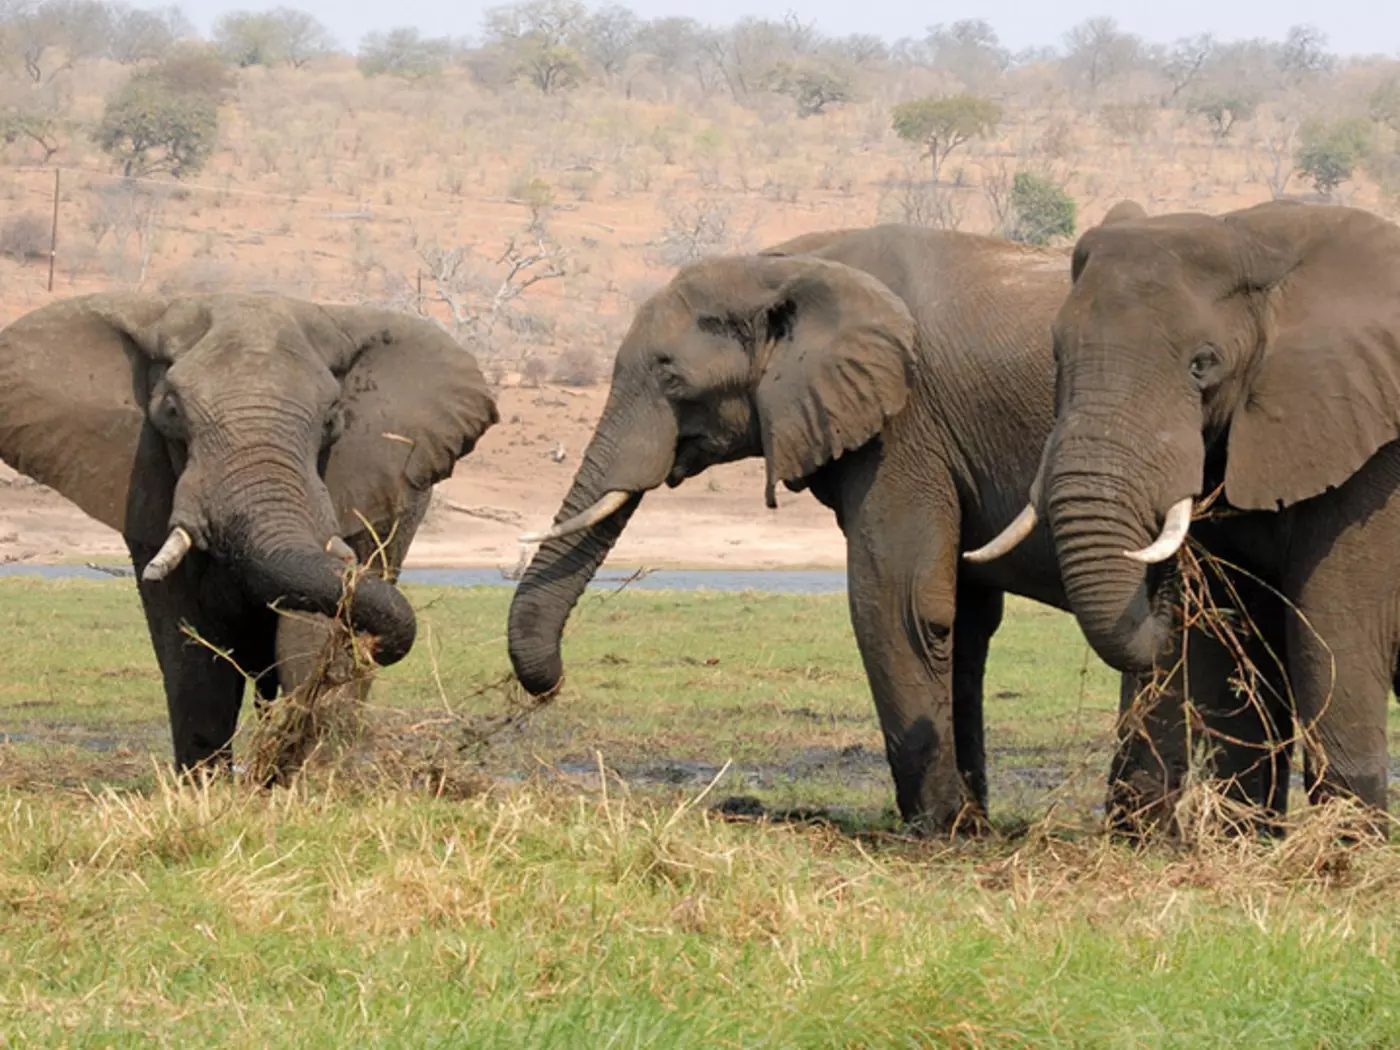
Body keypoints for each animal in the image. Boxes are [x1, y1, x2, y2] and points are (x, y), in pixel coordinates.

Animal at [0, 292, 498, 774]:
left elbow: (307, 630)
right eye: (171, 411)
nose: (376, 646)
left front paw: (300, 775)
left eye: (333, 419)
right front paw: (204, 788)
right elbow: (188, 648)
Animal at [504, 222, 1100, 834]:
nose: (551, 688)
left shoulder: (905, 428)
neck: (782, 267)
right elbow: (966, 620)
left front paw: (937, 828)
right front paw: (971, 824)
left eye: (669, 373)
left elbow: (901, 603)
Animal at [974, 198, 1400, 831]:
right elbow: (1235, 645)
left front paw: (1348, 847)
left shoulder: (1373, 457)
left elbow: (1332, 630)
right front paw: (1240, 839)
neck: (1258, 242)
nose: (1169, 588)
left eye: (1203, 364)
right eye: (1055, 355)